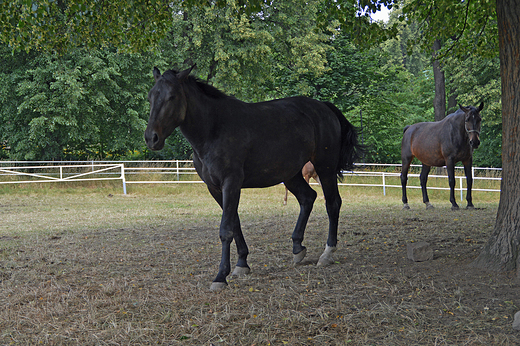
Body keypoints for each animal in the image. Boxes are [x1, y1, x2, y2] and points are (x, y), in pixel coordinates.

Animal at [142, 66, 362, 290]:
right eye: (151, 97)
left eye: (172, 96)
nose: (152, 138)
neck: (214, 128)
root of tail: (324, 107)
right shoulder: (216, 188)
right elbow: (235, 224)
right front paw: (242, 264)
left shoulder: (231, 183)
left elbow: (226, 229)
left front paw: (220, 276)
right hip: (291, 174)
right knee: (307, 198)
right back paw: (297, 247)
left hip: (325, 168)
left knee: (332, 204)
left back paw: (327, 253)